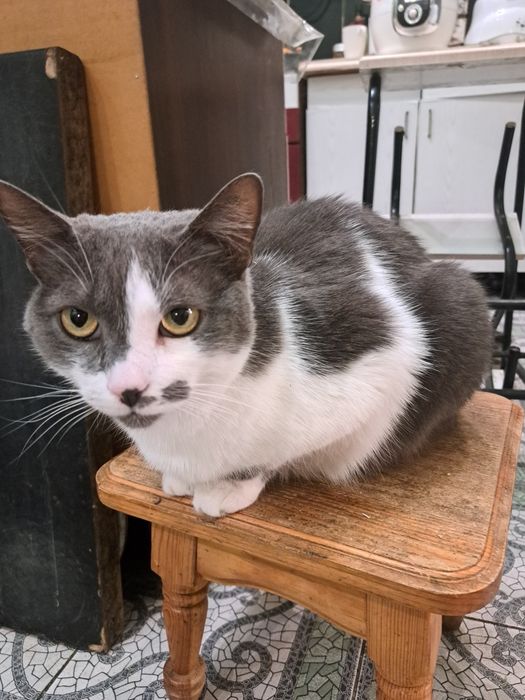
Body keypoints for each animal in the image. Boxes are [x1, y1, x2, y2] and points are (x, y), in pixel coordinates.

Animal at [0, 174, 492, 517]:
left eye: (180, 317)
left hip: (460, 299)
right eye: (78, 320)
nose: (129, 388)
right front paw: (180, 478)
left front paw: (229, 485)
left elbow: (281, 450)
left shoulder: (380, 356)